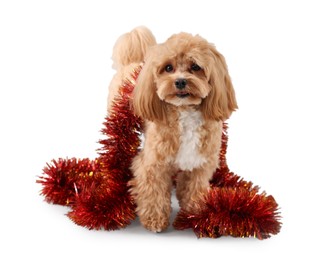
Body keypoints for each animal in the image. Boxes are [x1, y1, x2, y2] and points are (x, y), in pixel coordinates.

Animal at [109, 27, 237, 233]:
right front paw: (155, 220)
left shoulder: (199, 165)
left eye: (195, 67)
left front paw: (194, 215)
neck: (185, 111)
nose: (180, 82)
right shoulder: (153, 164)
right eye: (168, 68)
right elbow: (154, 192)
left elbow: (193, 189)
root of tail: (132, 62)